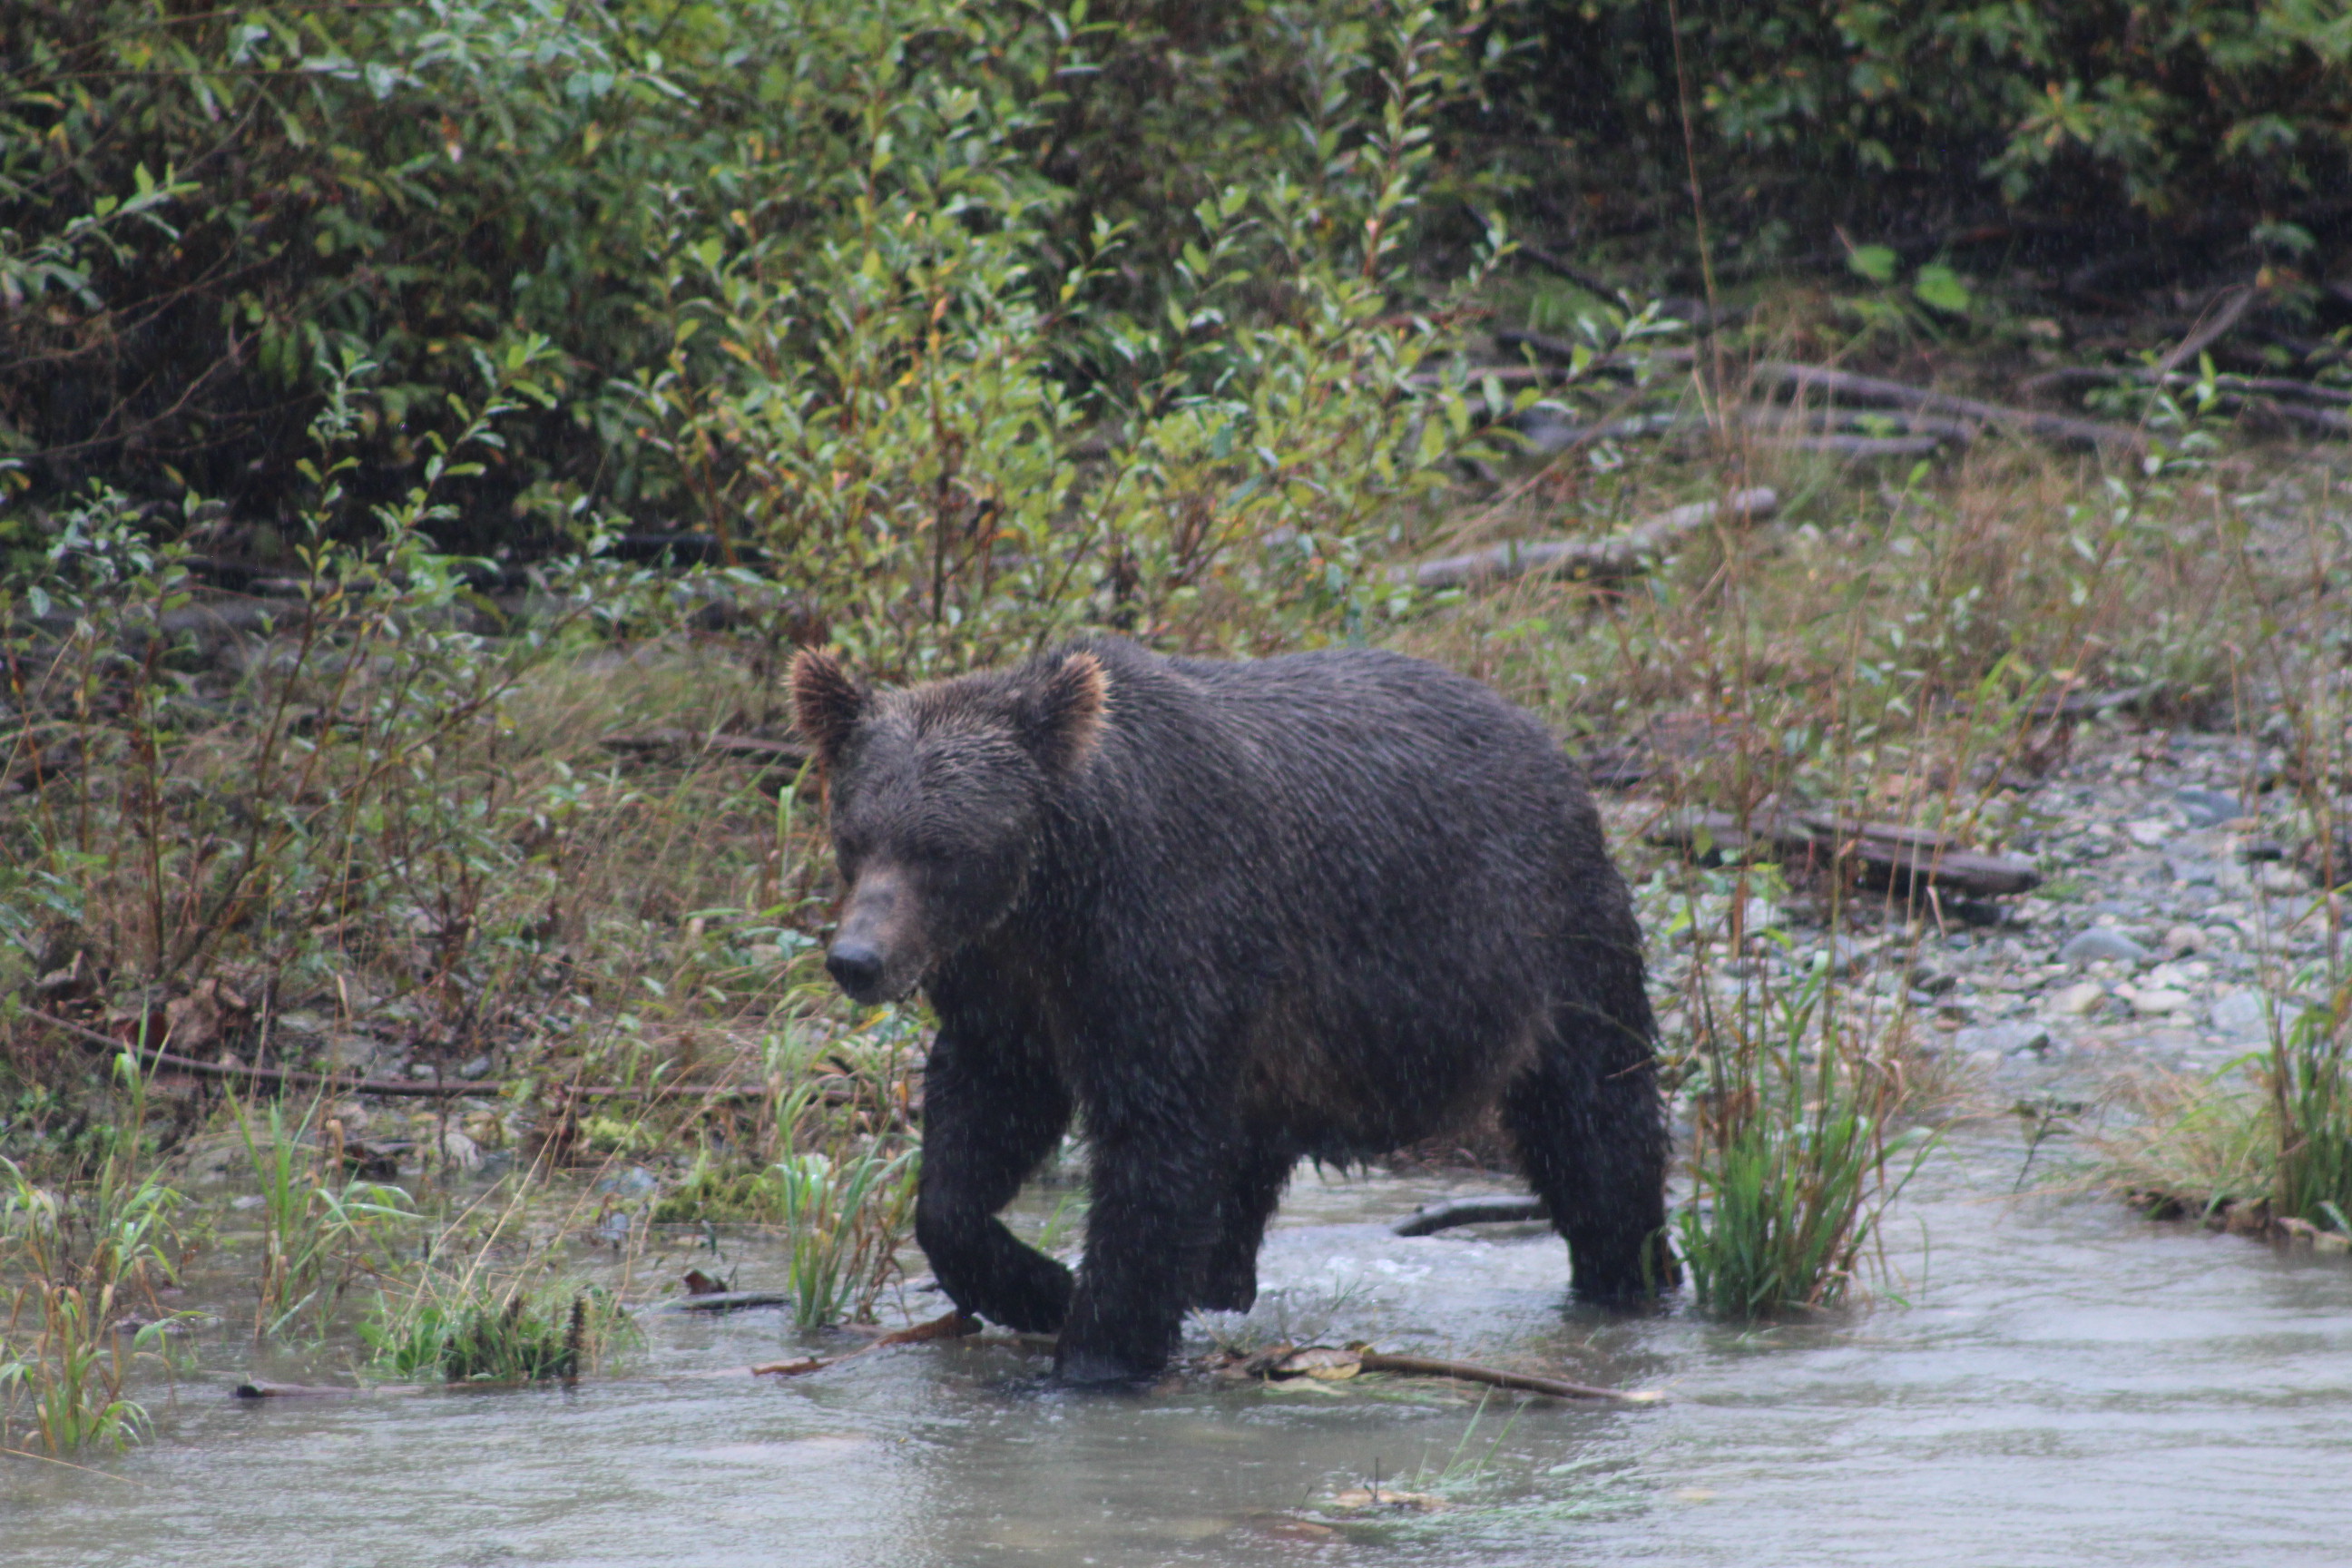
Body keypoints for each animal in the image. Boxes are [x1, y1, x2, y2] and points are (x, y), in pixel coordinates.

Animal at [791, 636, 1671, 1385]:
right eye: (854, 836)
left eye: (941, 850)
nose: (858, 960)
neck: (1050, 899)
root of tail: (1548, 740)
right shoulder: (1004, 990)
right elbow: (977, 1129)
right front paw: (1036, 1283)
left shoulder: (1163, 932)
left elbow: (1154, 1147)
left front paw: (1092, 1353)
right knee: (1244, 1170)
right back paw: (1221, 1286)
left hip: (1541, 943)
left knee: (1597, 1126)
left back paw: (1632, 1277)